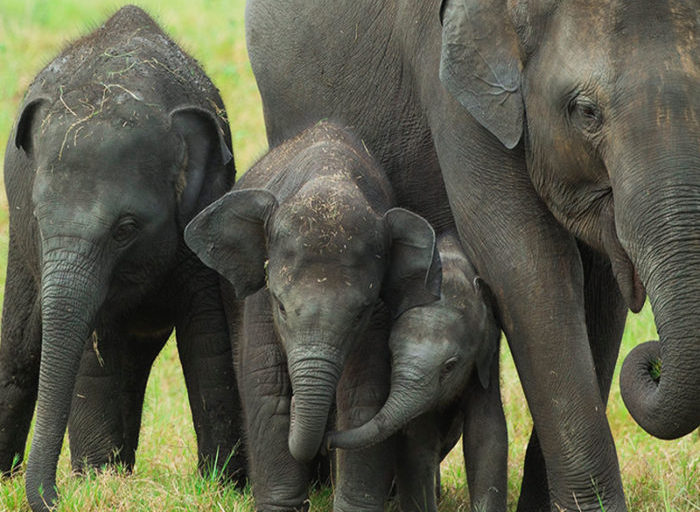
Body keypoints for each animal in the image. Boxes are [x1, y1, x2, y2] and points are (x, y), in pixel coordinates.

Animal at [183, 121, 440, 512]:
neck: (329, 177)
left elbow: (364, 395)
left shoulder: (380, 313)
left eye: (361, 313)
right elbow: (267, 388)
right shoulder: (260, 297)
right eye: (280, 305)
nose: (325, 441)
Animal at [326, 232, 506, 512]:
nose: (326, 440)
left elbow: (487, 433)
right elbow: (417, 443)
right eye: (390, 354)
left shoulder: (487, 356)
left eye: (450, 366)